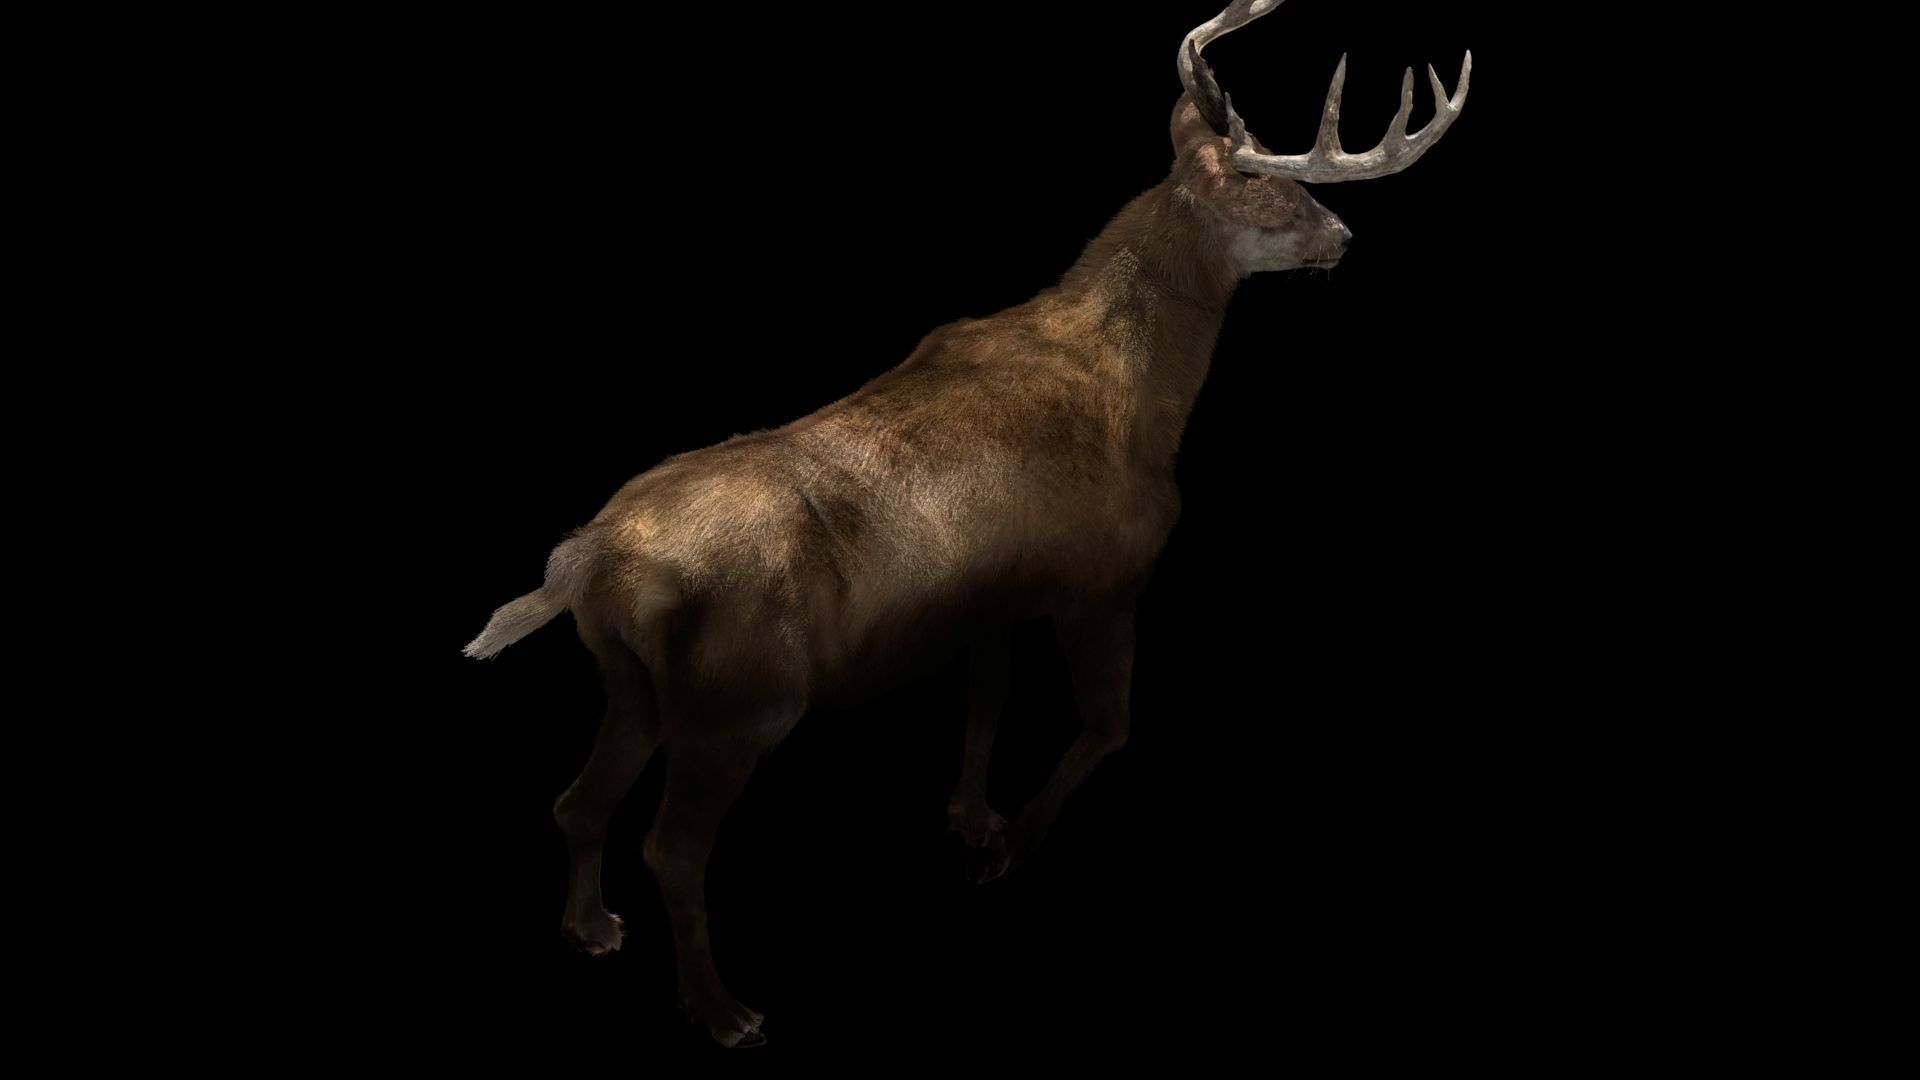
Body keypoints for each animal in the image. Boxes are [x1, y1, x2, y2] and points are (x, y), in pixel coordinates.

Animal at [463, 0, 1468, 1049]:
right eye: (1255, 180)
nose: (1342, 233)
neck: (1144, 394)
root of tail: (592, 559)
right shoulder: (1103, 579)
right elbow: (1110, 727)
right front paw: (1009, 847)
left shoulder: (990, 600)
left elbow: (986, 707)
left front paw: (972, 820)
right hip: (740, 698)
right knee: (670, 846)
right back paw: (723, 1009)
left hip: (630, 679)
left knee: (577, 802)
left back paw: (591, 928)